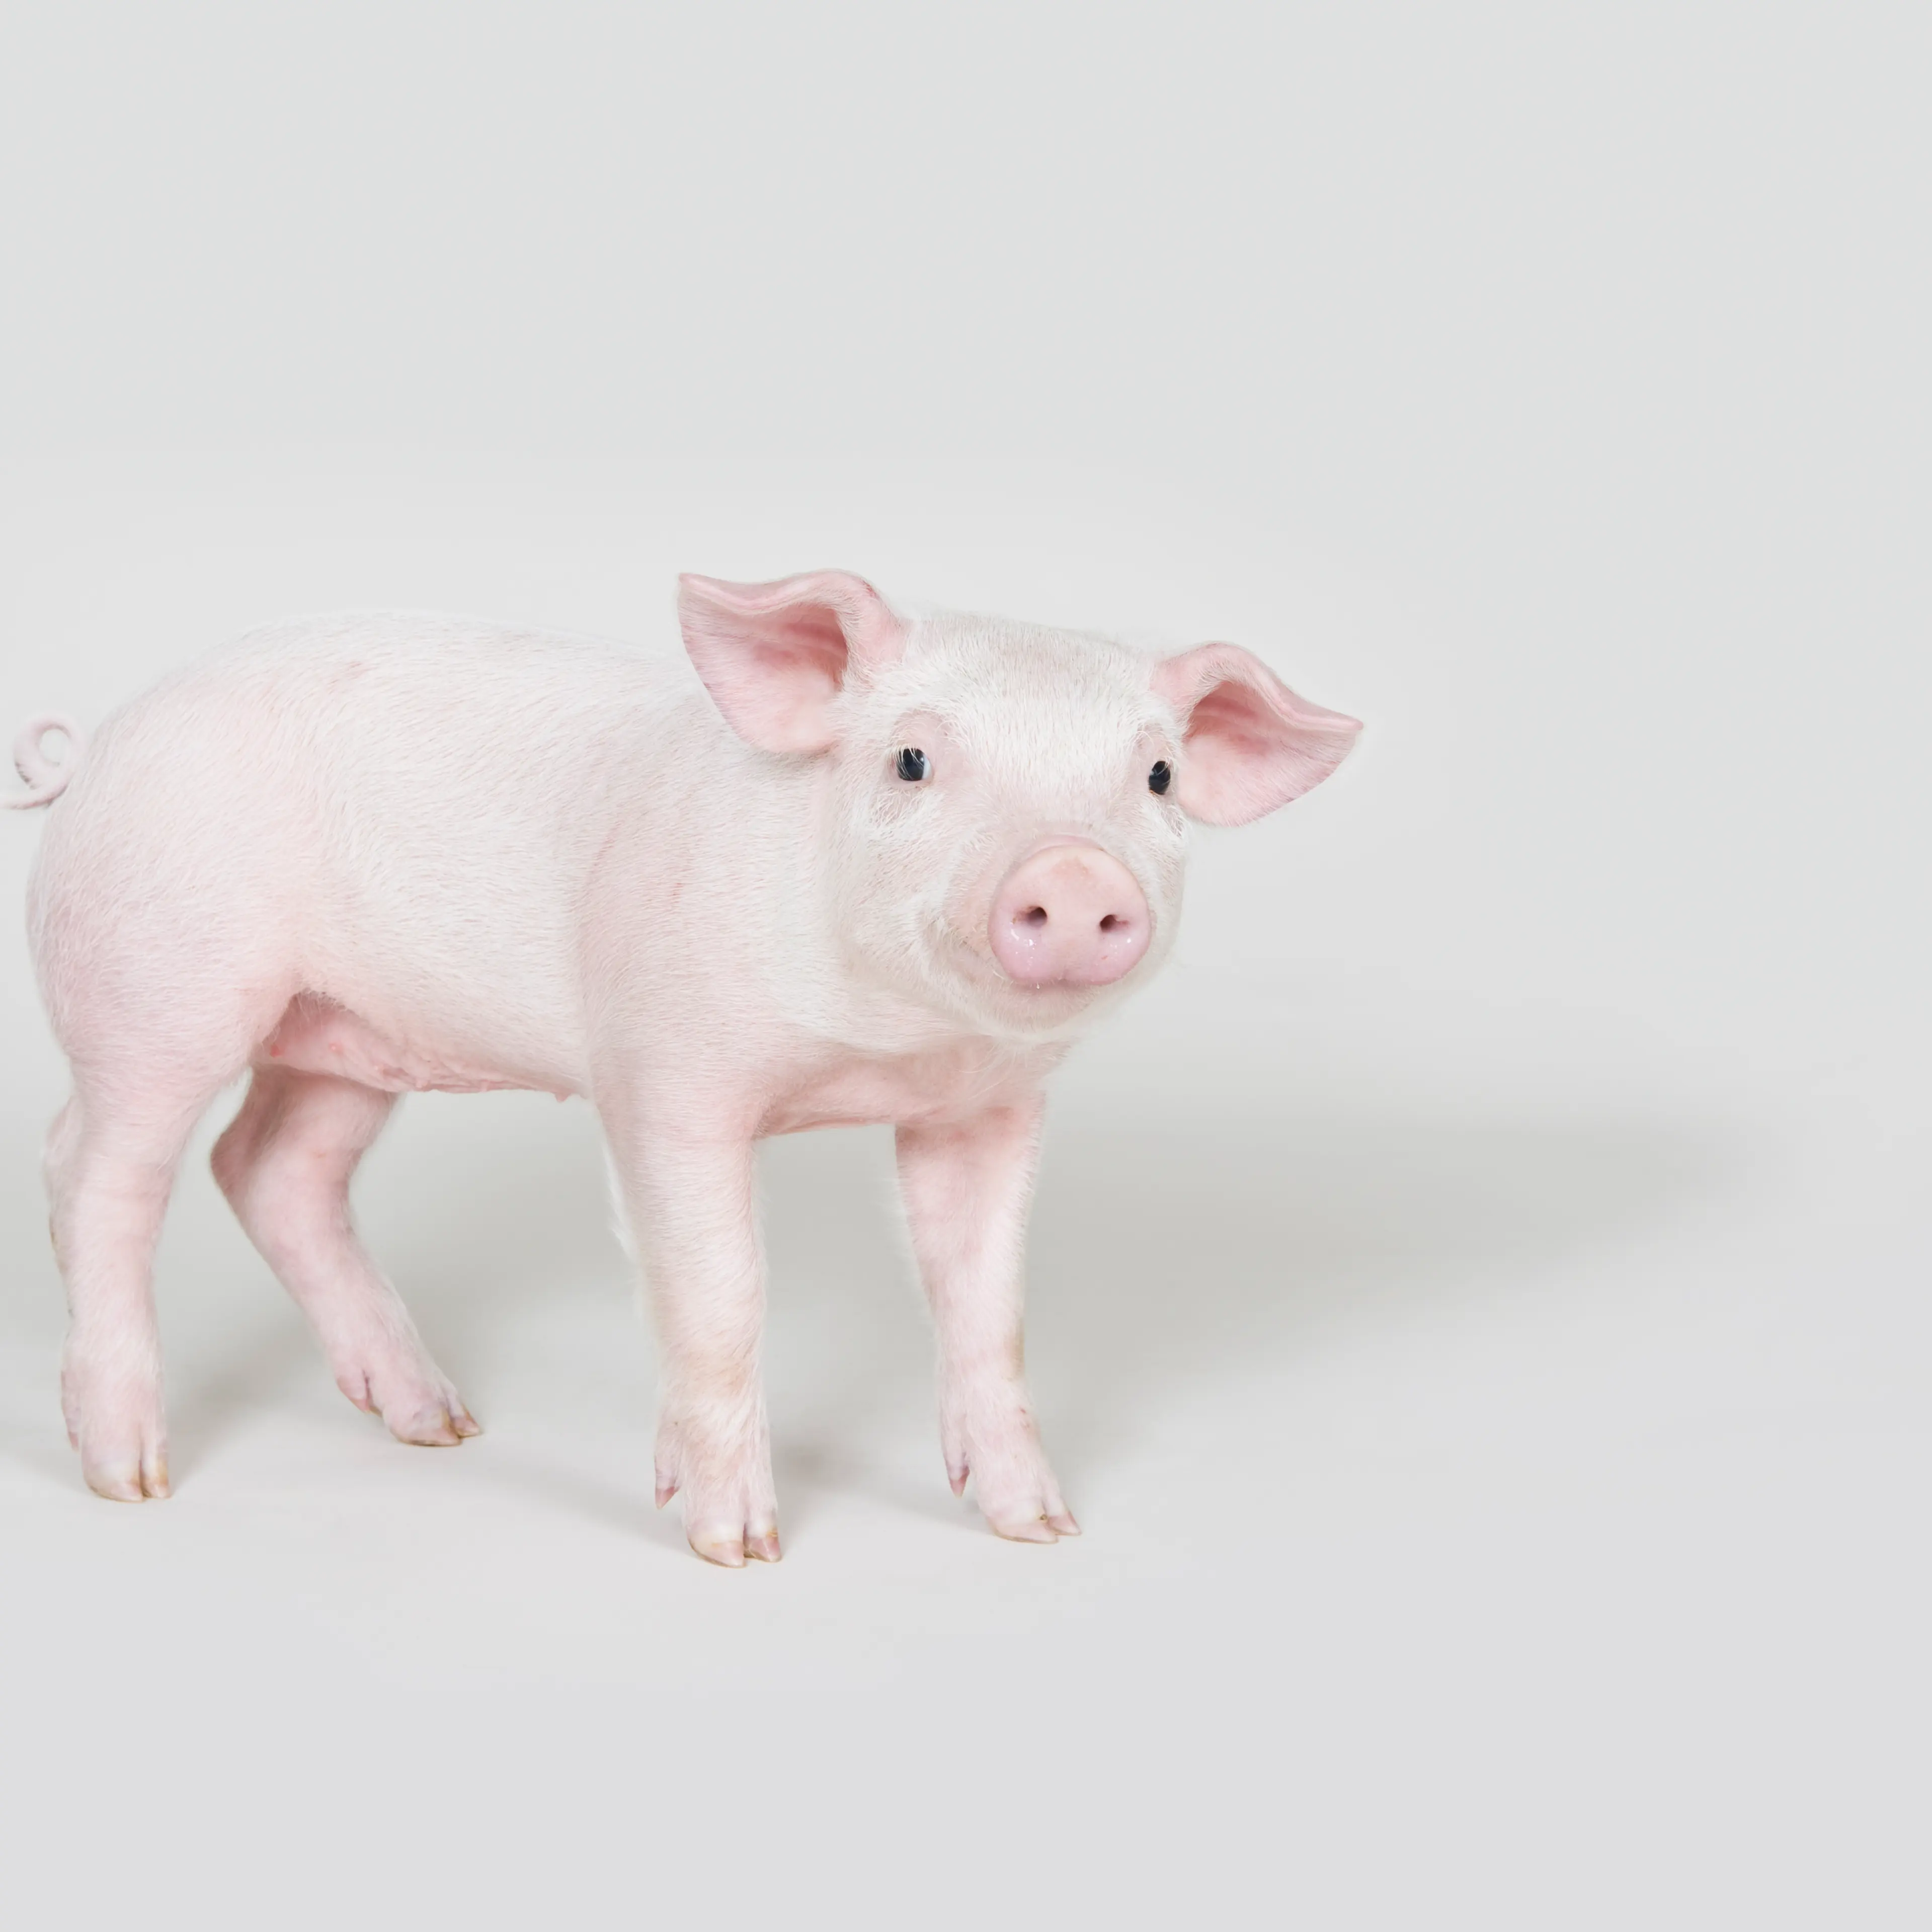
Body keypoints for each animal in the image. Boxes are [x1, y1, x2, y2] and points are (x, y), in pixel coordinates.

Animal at [9, 572, 1359, 1564]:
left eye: (1158, 777)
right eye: (913, 762)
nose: (1074, 873)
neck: (878, 1048)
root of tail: (98, 750)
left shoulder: (989, 1106)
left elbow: (989, 1305)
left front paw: (1040, 1529)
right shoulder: (662, 1075)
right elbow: (721, 1293)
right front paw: (738, 1547)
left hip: (343, 1035)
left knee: (270, 1165)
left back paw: (440, 1426)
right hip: (152, 983)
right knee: (96, 1170)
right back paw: (132, 1476)